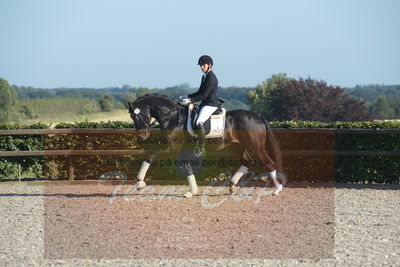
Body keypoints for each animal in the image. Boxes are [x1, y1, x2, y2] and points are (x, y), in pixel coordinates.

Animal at [128, 93, 284, 198]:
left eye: (136, 116)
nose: (141, 137)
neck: (172, 117)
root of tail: (258, 116)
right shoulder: (180, 151)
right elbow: (185, 167)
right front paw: (192, 191)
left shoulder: (172, 149)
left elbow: (150, 156)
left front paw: (139, 183)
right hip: (238, 147)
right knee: (247, 161)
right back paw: (232, 186)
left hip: (256, 147)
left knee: (268, 163)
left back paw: (277, 190)